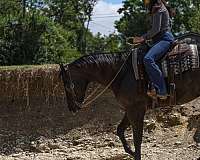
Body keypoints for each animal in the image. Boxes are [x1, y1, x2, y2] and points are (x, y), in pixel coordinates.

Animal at [60, 32, 200, 160]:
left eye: (67, 86)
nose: (72, 108)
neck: (122, 72)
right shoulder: (129, 109)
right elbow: (120, 130)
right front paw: (130, 152)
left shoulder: (136, 109)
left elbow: (137, 138)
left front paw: (136, 154)